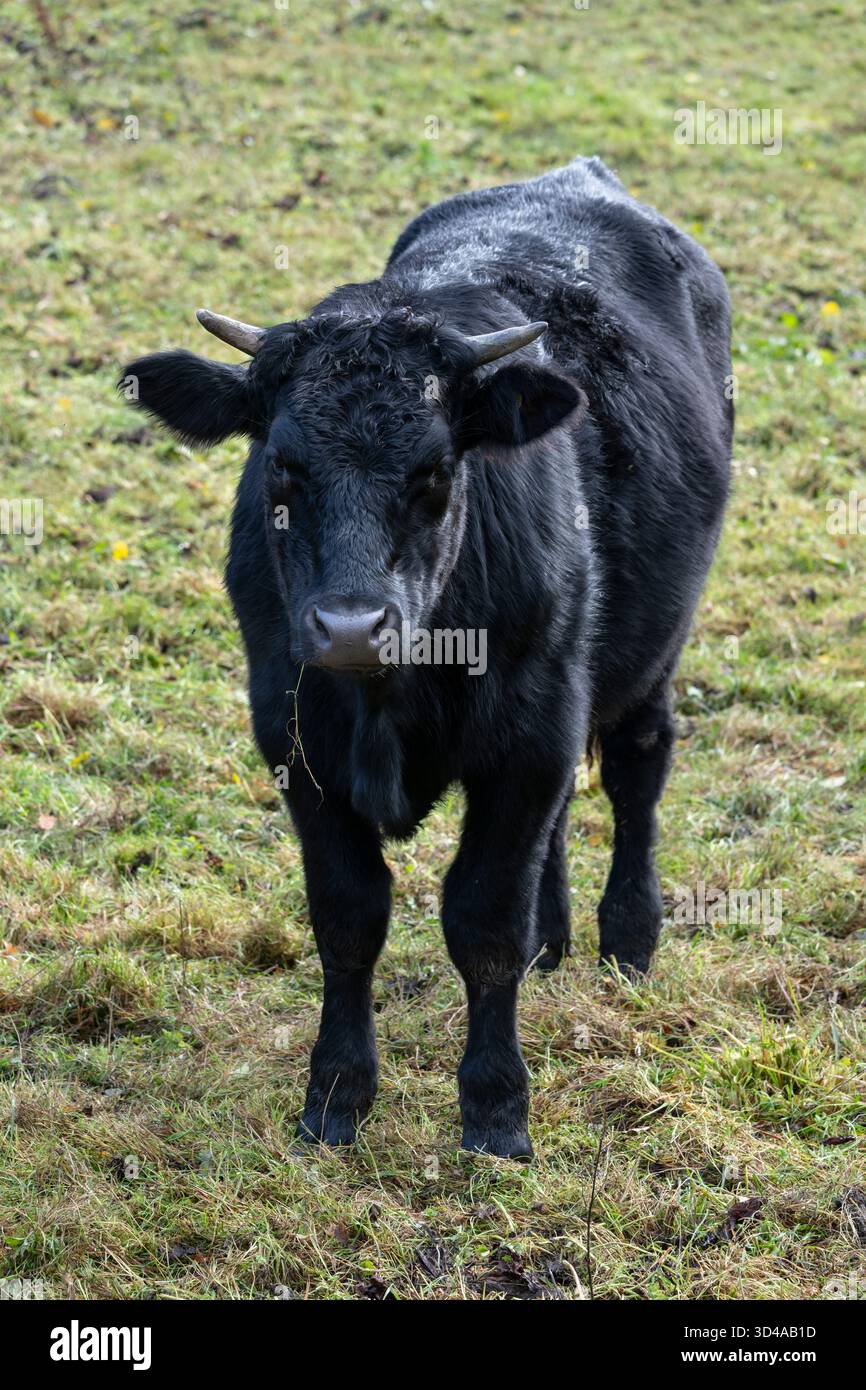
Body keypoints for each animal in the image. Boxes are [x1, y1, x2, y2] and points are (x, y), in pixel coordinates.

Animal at [120, 156, 732, 1159]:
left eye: (437, 471)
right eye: (280, 465)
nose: (349, 627)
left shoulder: (528, 734)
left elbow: (482, 919)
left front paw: (495, 1107)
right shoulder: (296, 740)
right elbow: (349, 915)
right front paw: (335, 1094)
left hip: (651, 647)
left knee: (637, 769)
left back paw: (627, 939)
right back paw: (555, 937)